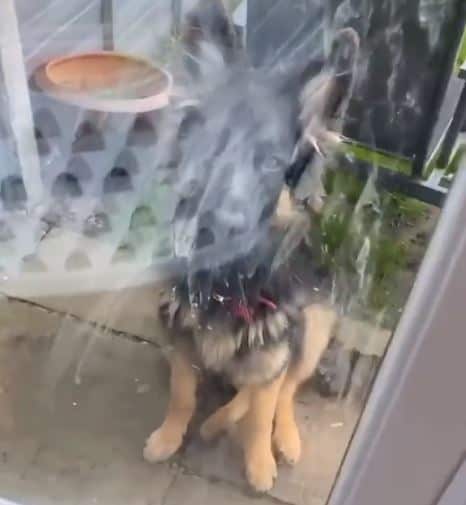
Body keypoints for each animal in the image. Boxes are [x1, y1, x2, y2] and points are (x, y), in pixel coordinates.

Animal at [144, 0, 358, 490]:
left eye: (272, 163)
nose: (224, 227)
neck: (227, 286)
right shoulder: (181, 340)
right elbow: (182, 395)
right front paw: (168, 436)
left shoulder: (276, 354)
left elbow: (262, 414)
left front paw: (260, 465)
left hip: (313, 326)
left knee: (283, 390)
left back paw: (277, 434)